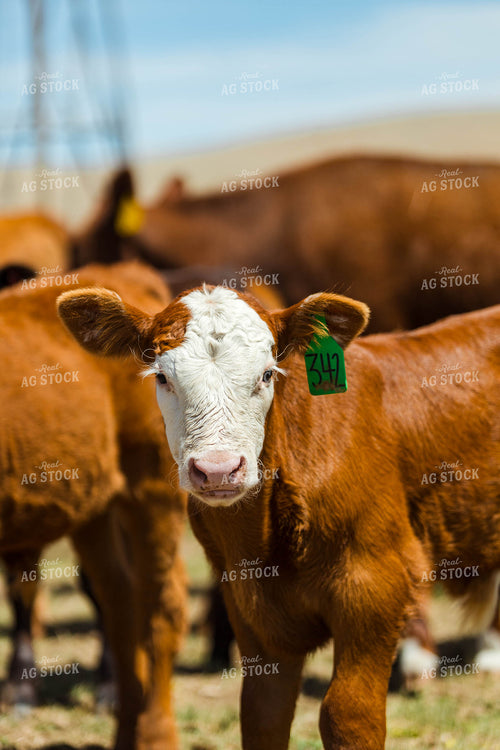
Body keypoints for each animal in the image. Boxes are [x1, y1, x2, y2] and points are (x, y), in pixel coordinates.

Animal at [57, 283, 500, 750]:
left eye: (267, 374)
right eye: (162, 377)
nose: (217, 469)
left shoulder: (375, 586)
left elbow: (347, 715)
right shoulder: (250, 605)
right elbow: (263, 714)